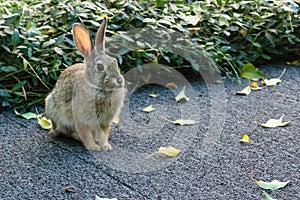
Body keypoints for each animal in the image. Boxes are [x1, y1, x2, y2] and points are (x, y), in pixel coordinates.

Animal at [44, 18, 124, 152]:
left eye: (115, 62)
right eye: (100, 67)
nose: (119, 81)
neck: (98, 89)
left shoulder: (105, 122)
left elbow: (103, 134)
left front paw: (105, 146)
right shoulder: (81, 119)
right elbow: (86, 134)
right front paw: (93, 147)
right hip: (52, 108)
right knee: (65, 131)